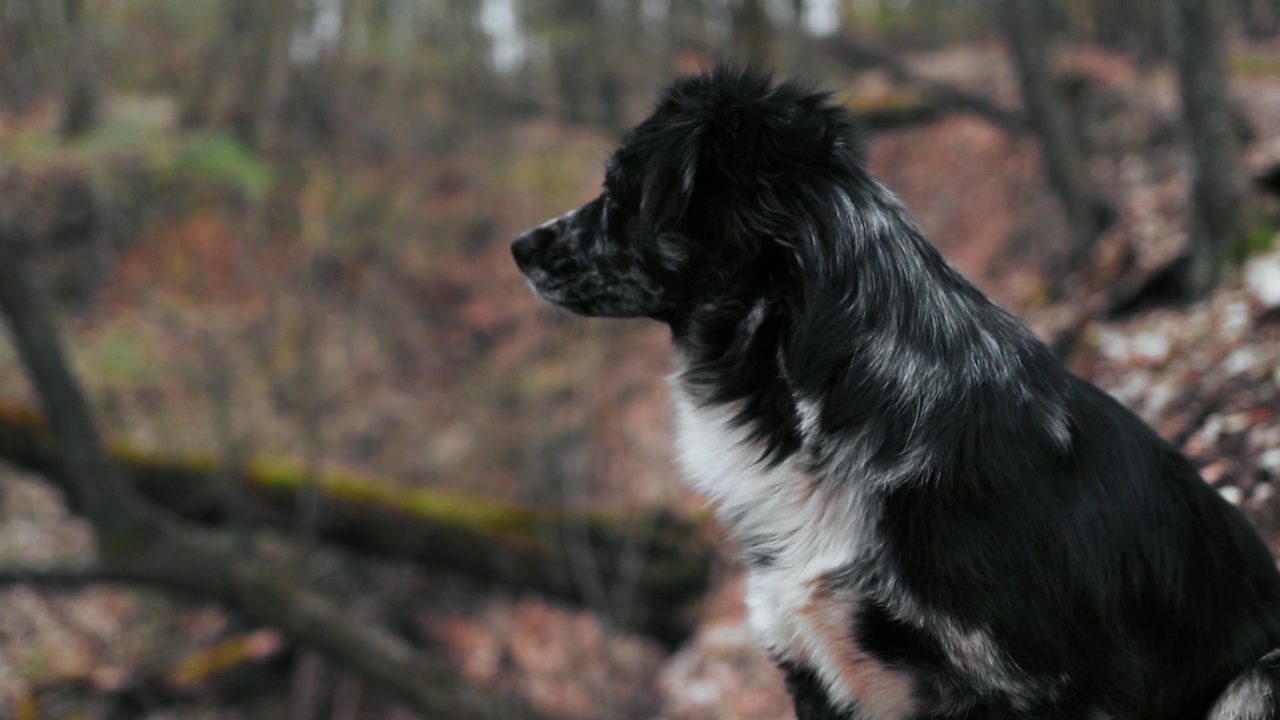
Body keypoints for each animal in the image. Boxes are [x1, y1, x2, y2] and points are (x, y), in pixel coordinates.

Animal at [514, 67, 1280, 717]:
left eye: (620, 190)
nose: (520, 248)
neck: (828, 405)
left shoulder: (1033, 684)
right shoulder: (809, 662)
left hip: (1257, 676)